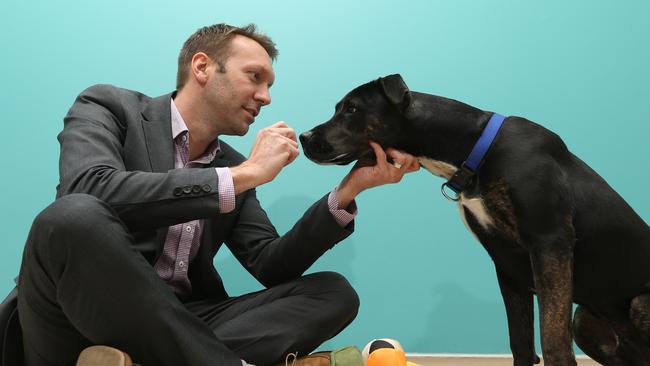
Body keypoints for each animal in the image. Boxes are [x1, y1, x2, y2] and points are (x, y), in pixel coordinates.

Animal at [298, 74, 648, 366]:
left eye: (352, 109)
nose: (303, 136)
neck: (473, 150)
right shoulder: (508, 264)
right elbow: (520, 342)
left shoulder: (550, 244)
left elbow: (552, 340)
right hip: (585, 320)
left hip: (635, 304)